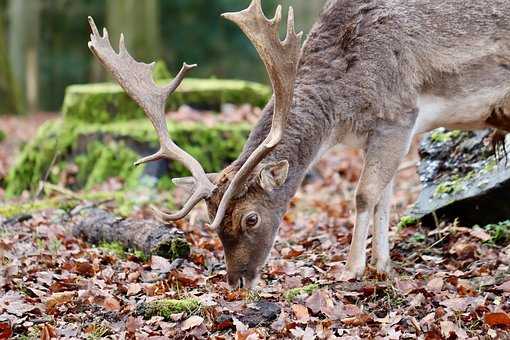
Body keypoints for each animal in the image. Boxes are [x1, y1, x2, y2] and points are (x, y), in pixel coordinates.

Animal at [87, 0, 510, 290]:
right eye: (212, 224)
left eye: (251, 218)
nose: (237, 281)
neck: (342, 113)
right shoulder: (384, 133)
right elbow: (385, 198)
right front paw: (382, 266)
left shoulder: (398, 112)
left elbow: (363, 195)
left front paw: (351, 268)